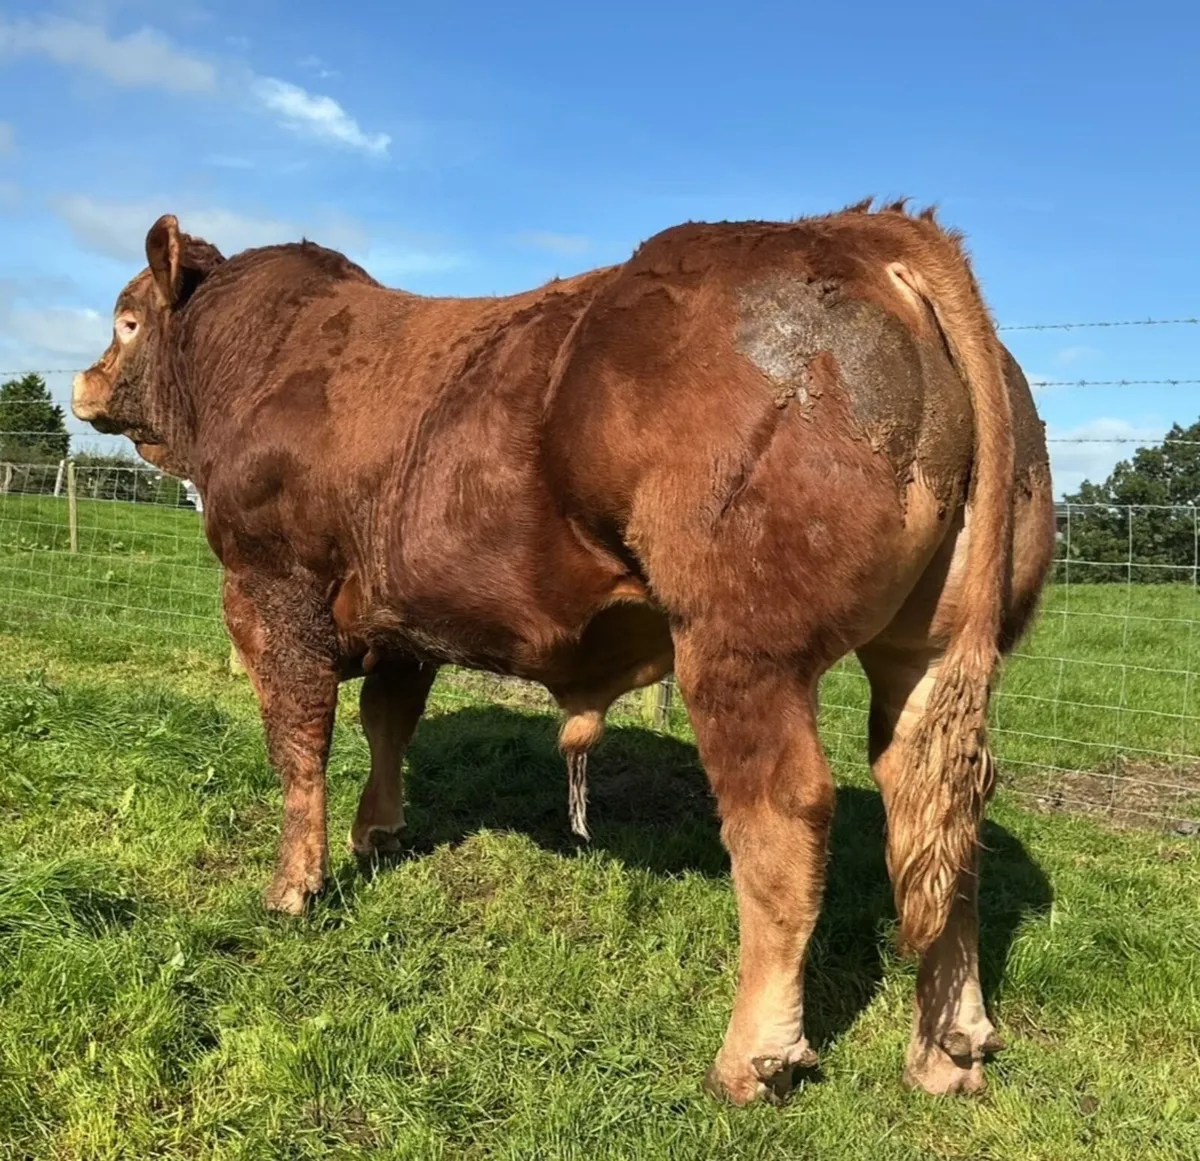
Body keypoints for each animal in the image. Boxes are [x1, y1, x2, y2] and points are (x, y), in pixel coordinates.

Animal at [72, 201, 1055, 1106]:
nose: (85, 380)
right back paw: (948, 1046)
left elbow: (299, 745)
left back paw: (753, 1056)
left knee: (785, 817)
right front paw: (377, 832)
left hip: (741, 645)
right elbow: (388, 722)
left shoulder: (274, 590)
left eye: (126, 320)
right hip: (930, 650)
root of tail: (862, 229)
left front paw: (293, 887)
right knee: (939, 809)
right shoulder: (402, 616)